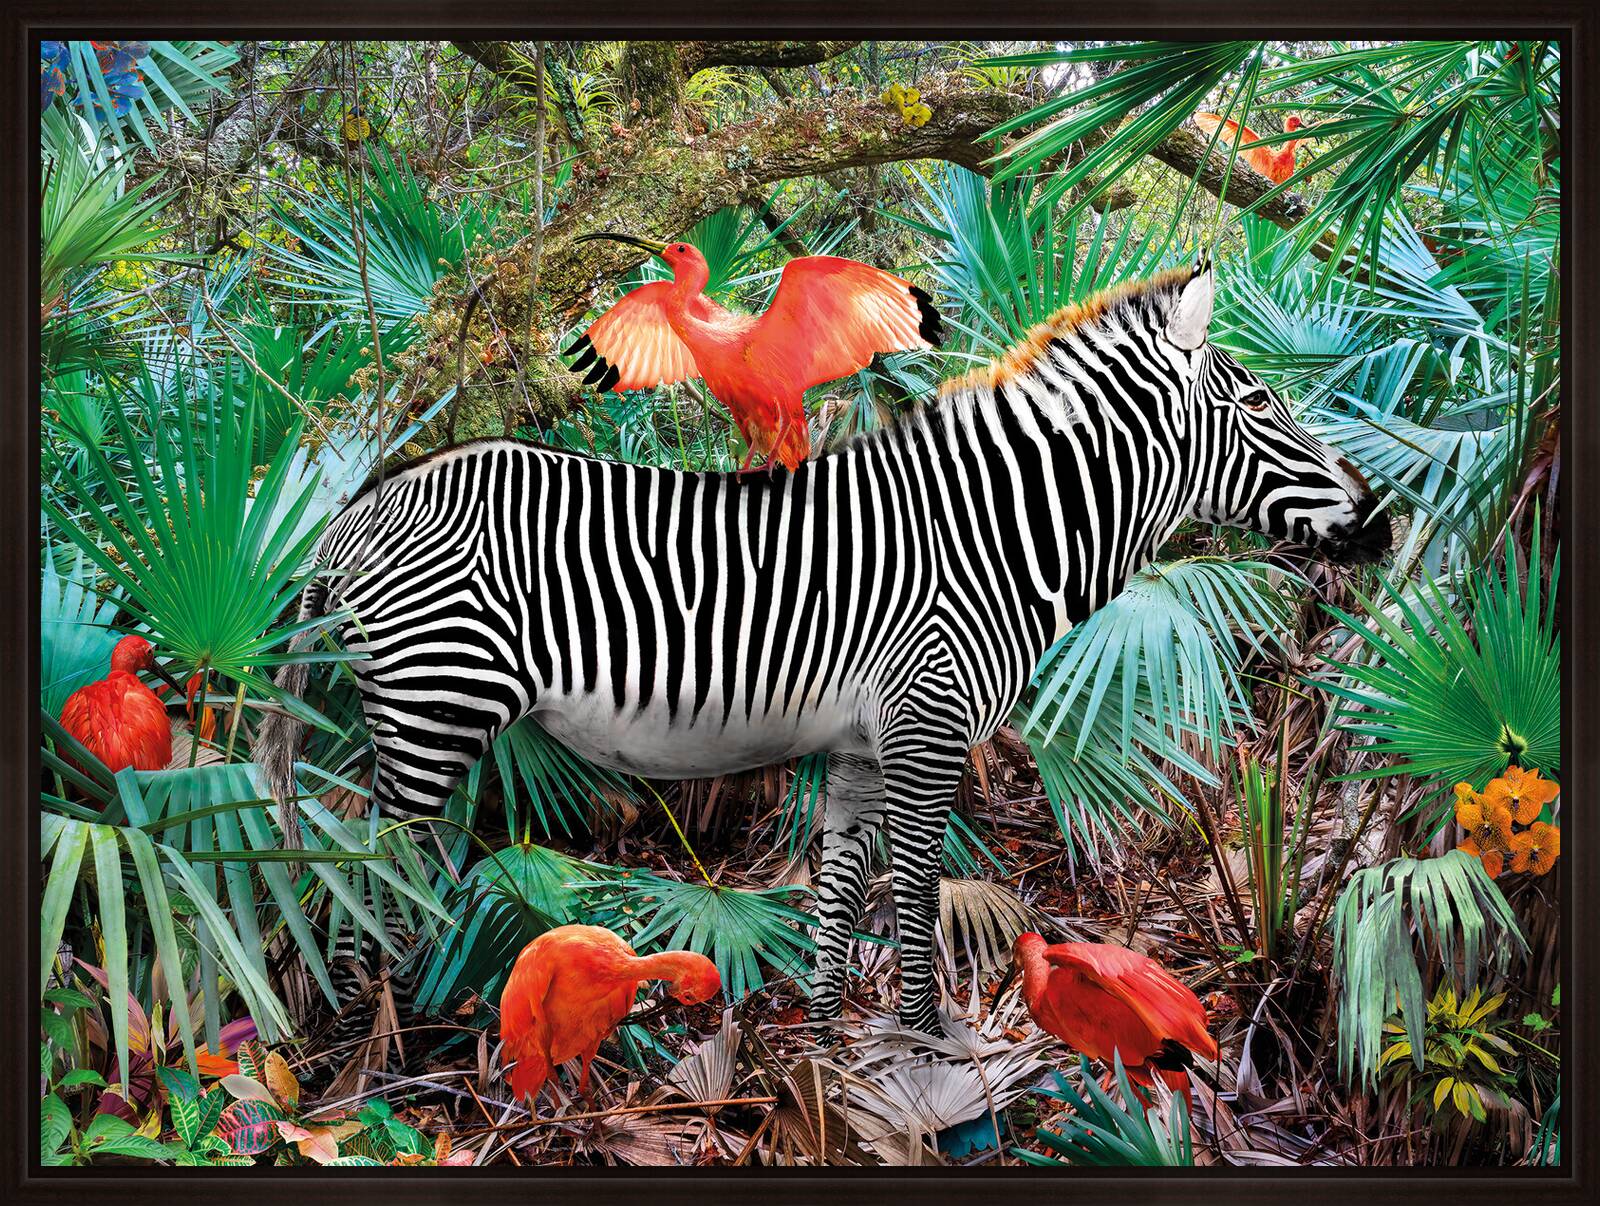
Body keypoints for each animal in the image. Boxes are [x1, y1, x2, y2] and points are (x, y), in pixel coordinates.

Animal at [258, 260, 1389, 1034]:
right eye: (1261, 405)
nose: (1382, 520)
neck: (990, 531)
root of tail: (356, 510)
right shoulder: (928, 729)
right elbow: (916, 895)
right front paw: (928, 1047)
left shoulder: (860, 747)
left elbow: (841, 897)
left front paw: (825, 1042)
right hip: (434, 704)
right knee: (365, 862)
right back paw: (373, 1051)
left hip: (413, 715)